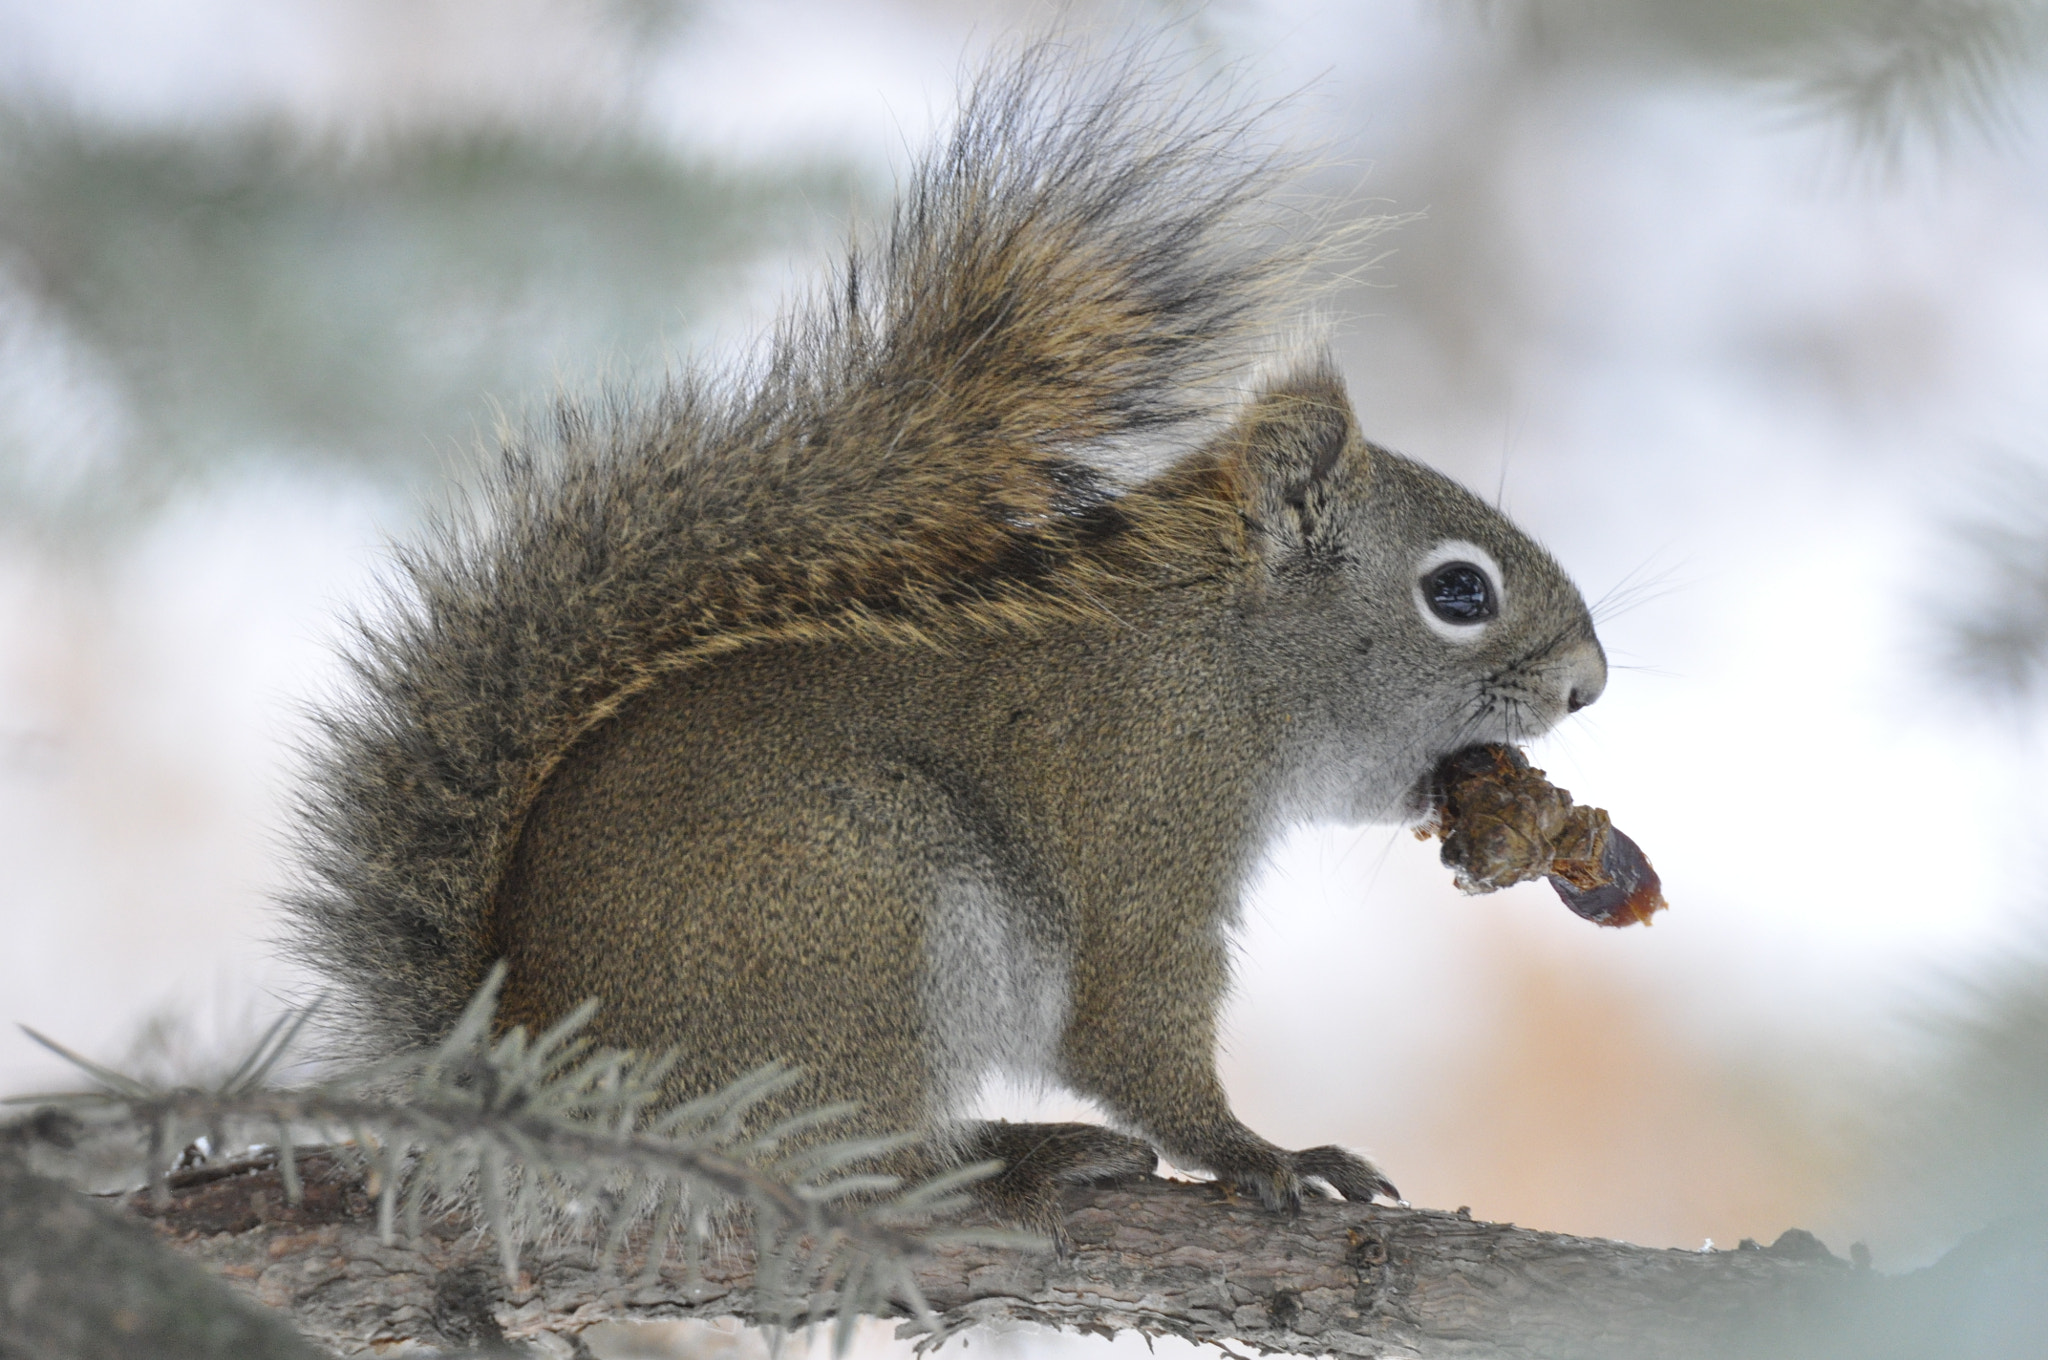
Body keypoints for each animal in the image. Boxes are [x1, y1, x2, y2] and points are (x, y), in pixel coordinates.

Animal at [286, 43, 1607, 1243]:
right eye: (1457, 591)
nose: (1587, 684)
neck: (1220, 664)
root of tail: (538, 1065)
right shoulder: (1143, 814)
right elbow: (1132, 1026)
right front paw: (1265, 1154)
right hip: (862, 911)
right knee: (851, 1164)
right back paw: (1016, 1161)